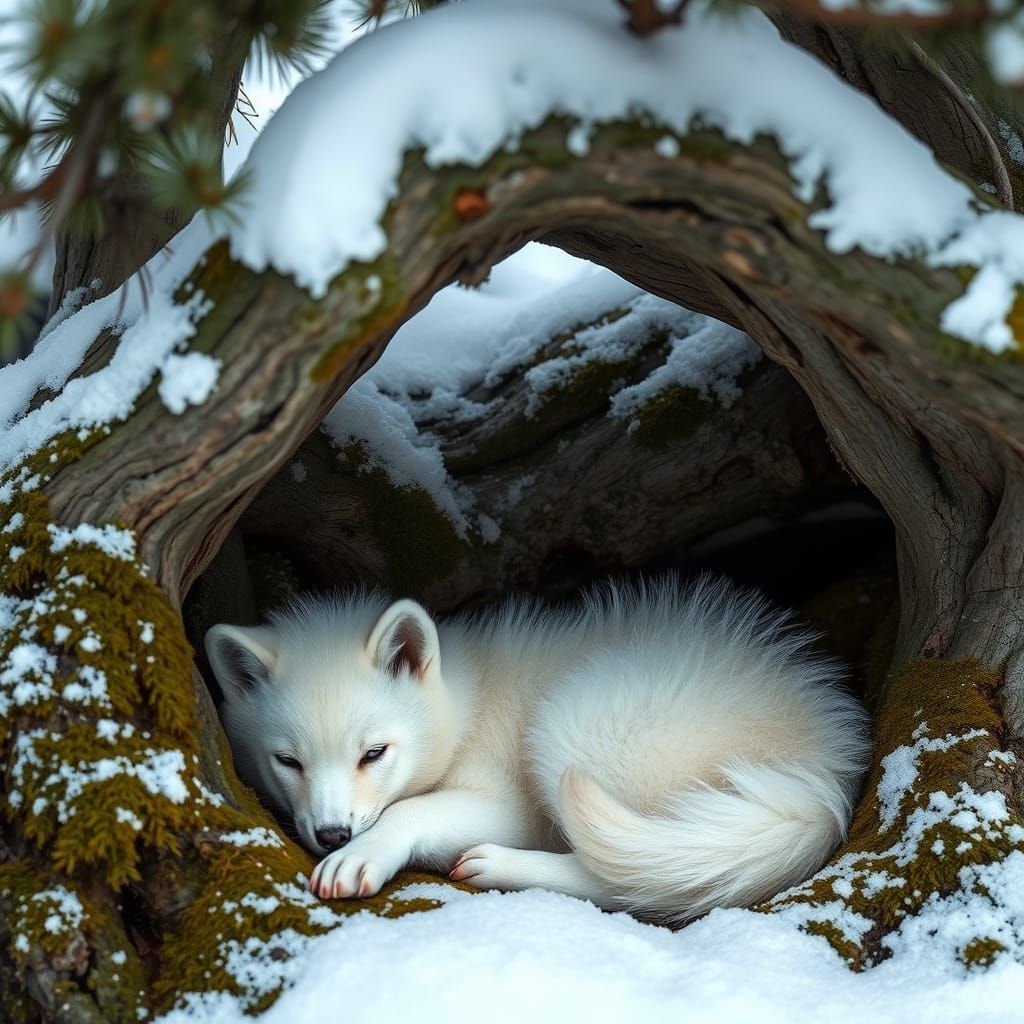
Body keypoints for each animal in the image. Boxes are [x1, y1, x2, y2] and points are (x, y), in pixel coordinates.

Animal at [205, 576, 869, 923]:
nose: (332, 835)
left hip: (573, 722)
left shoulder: (509, 804)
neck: (467, 701)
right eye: (288, 761)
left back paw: (500, 865)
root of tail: (820, 770)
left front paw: (362, 856)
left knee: (630, 882)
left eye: (374, 754)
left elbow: (410, 809)